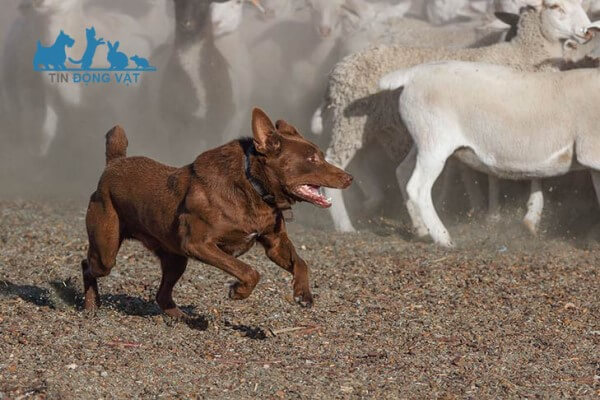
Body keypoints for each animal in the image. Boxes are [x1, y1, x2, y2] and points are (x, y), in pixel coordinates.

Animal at [80, 108, 352, 318]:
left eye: (320, 156)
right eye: (312, 159)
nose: (349, 178)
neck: (252, 186)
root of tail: (113, 164)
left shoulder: (275, 243)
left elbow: (301, 262)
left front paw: (303, 294)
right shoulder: (199, 244)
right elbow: (249, 271)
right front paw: (238, 291)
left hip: (175, 259)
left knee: (161, 294)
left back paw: (182, 317)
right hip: (107, 248)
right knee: (87, 264)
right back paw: (92, 306)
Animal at [322, 0, 588, 233]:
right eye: (556, 6)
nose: (586, 31)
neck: (523, 55)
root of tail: (340, 67)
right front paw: (511, 215)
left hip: (365, 124)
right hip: (351, 124)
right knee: (335, 161)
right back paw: (345, 226)